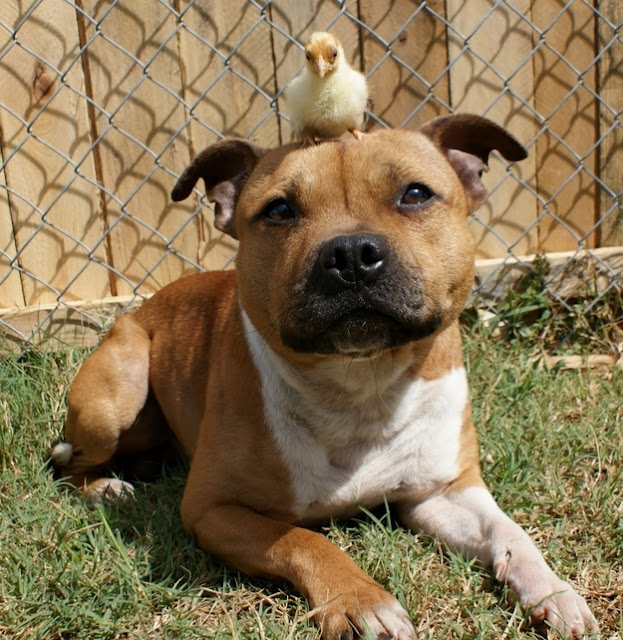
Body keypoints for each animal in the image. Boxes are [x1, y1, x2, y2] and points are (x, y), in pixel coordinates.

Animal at [51, 116, 596, 640]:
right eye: (279, 210)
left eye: (415, 193)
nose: (351, 252)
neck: (361, 387)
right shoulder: (211, 508)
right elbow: (304, 539)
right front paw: (362, 602)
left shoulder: (444, 492)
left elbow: (510, 533)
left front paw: (553, 592)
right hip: (116, 394)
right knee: (71, 463)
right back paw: (106, 487)